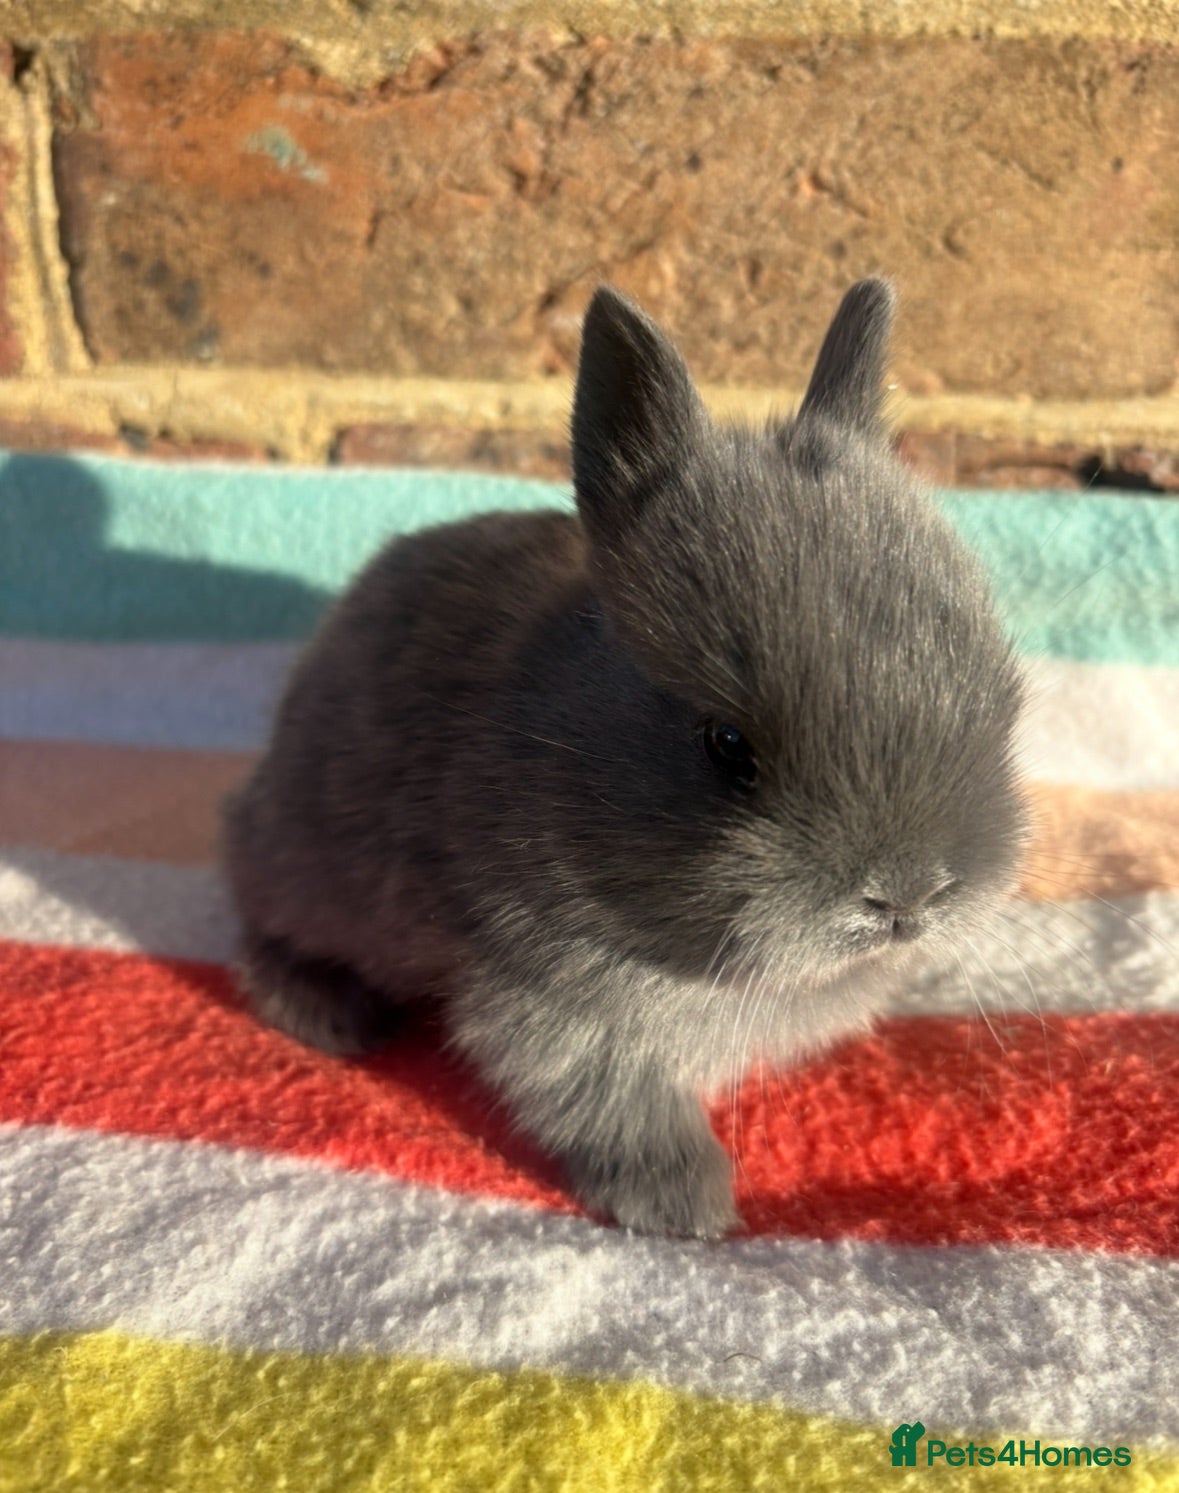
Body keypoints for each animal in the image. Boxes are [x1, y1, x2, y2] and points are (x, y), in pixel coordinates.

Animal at [221, 278, 1027, 1239]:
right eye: (727, 745)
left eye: (1002, 692)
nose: (905, 896)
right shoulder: (545, 1005)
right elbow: (611, 1104)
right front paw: (687, 1204)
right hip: (302, 864)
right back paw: (329, 1015)